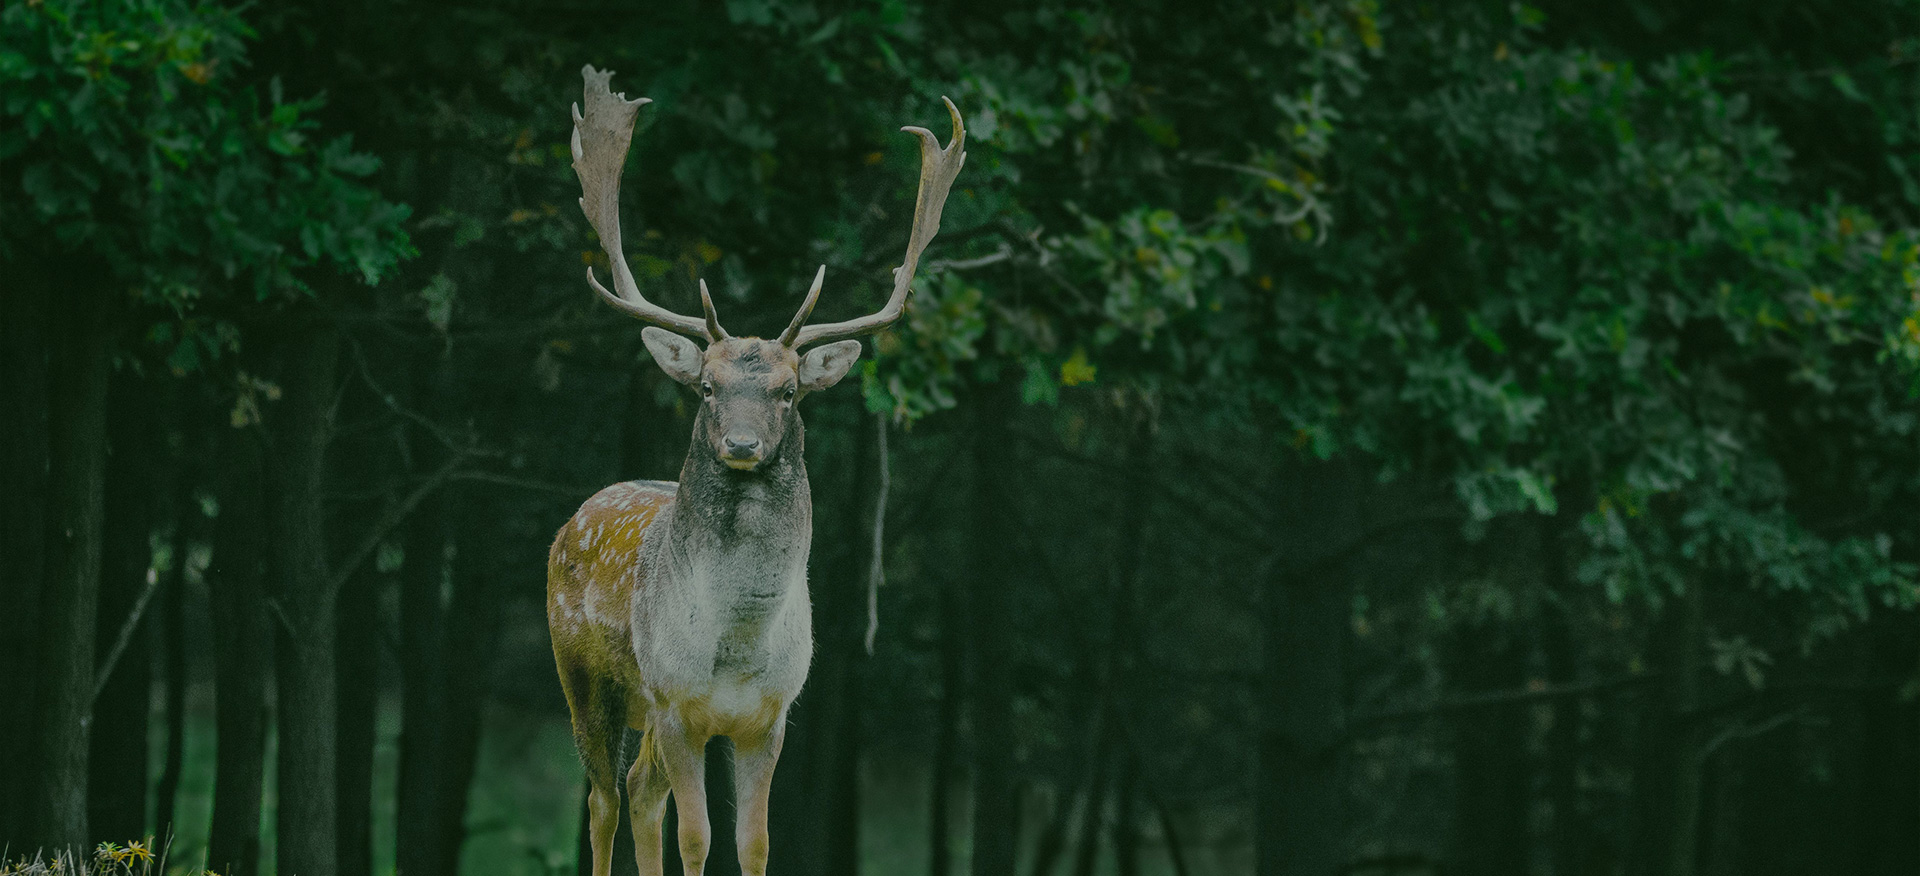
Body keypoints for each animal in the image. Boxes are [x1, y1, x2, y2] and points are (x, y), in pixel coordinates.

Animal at [545, 68, 960, 876]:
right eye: (706, 386)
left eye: (788, 390)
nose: (740, 443)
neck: (736, 647)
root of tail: (575, 518)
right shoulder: (677, 703)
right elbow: (698, 837)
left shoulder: (771, 717)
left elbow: (755, 841)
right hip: (585, 674)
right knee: (605, 799)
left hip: (642, 710)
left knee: (639, 792)